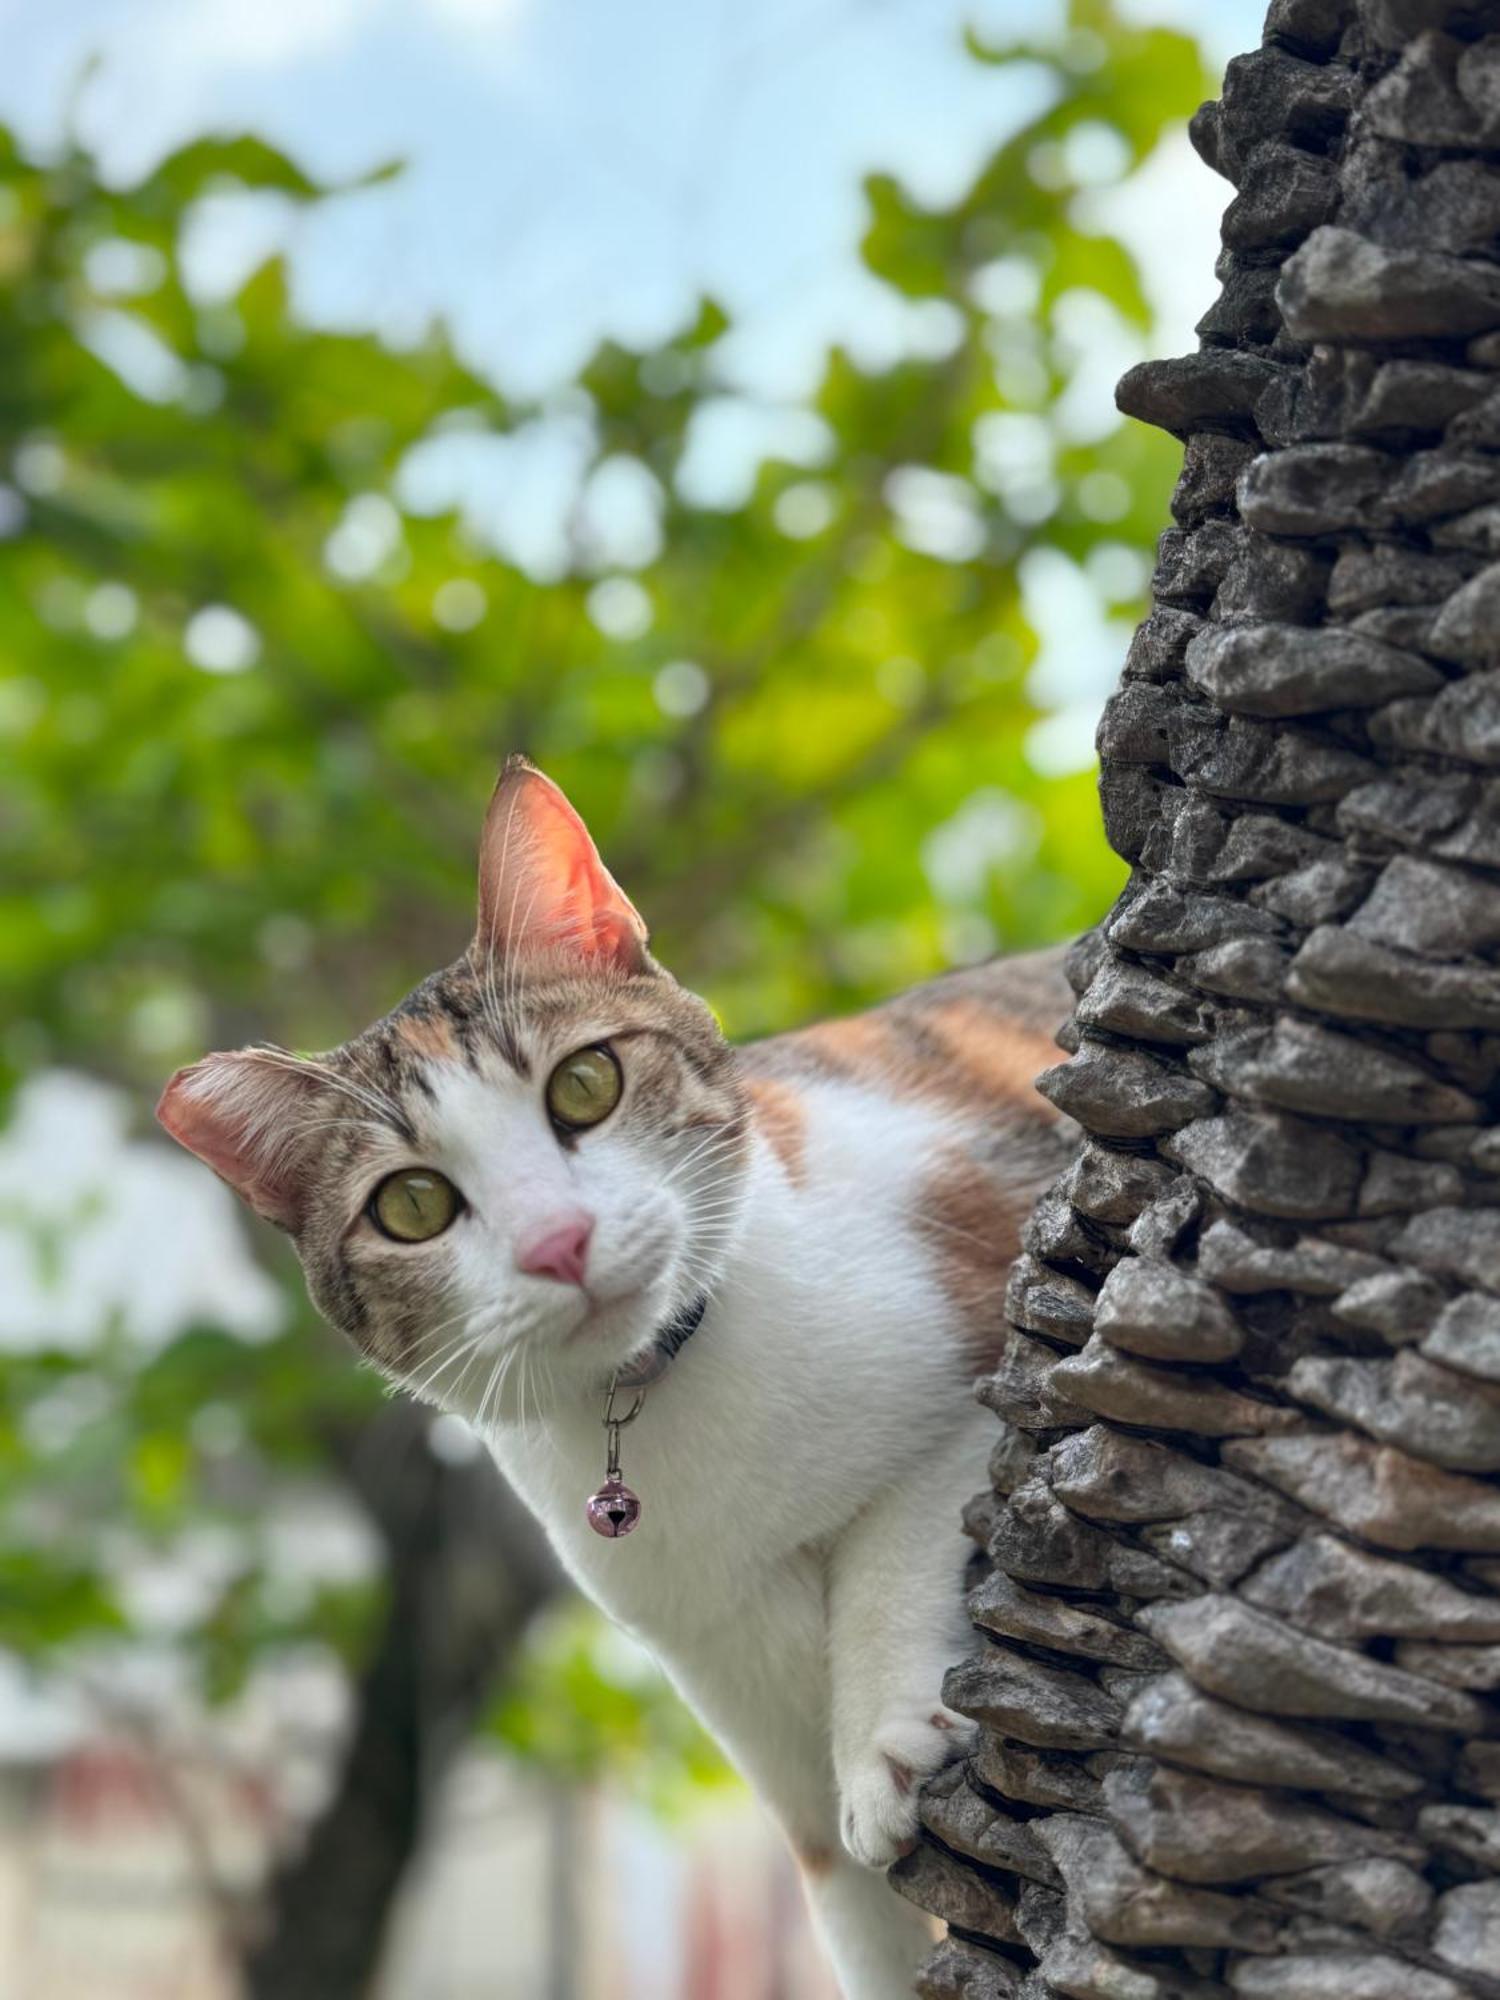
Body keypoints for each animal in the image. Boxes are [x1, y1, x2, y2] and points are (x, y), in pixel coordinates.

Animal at [159, 752, 1072, 2000]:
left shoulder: (987, 1291)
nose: (558, 1241)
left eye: (585, 1085)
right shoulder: (711, 1641)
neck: (669, 1389)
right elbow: (838, 1883)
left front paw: (882, 1735)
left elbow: (903, 1517)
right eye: (411, 1204)